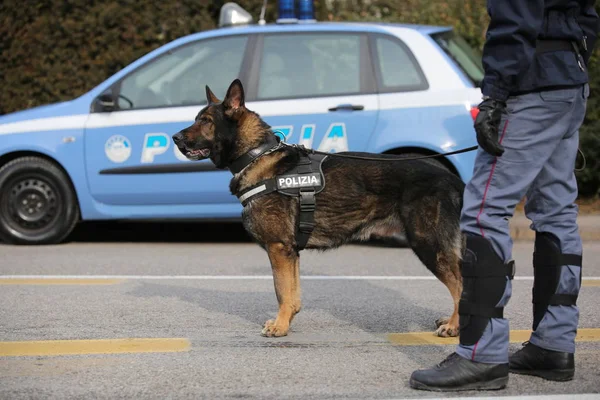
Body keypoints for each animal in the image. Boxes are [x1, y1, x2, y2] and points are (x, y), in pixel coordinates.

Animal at [171, 79, 466, 340]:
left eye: (205, 121)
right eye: (197, 118)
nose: (174, 137)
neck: (256, 155)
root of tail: (452, 178)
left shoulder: (278, 248)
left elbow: (281, 291)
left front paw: (280, 327)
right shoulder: (290, 252)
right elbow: (292, 294)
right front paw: (286, 321)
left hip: (428, 245)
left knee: (461, 285)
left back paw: (454, 326)